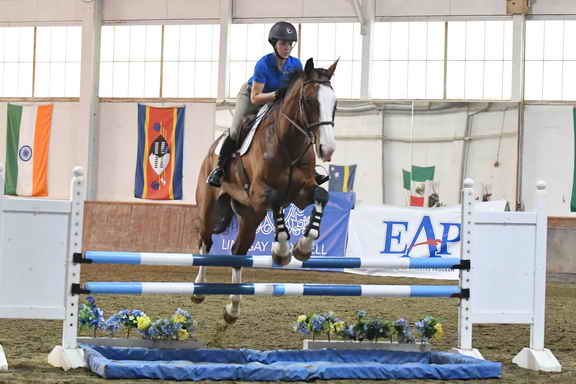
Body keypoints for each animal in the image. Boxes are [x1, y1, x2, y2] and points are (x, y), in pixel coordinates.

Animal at [194, 57, 338, 324]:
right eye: (310, 101)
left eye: (335, 103)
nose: (328, 149)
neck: (288, 144)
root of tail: (211, 150)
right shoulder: (260, 193)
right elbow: (276, 201)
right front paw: (282, 252)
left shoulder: (302, 193)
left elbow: (321, 196)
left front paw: (303, 247)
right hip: (210, 206)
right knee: (205, 242)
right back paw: (198, 290)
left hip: (250, 215)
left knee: (238, 252)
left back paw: (233, 308)